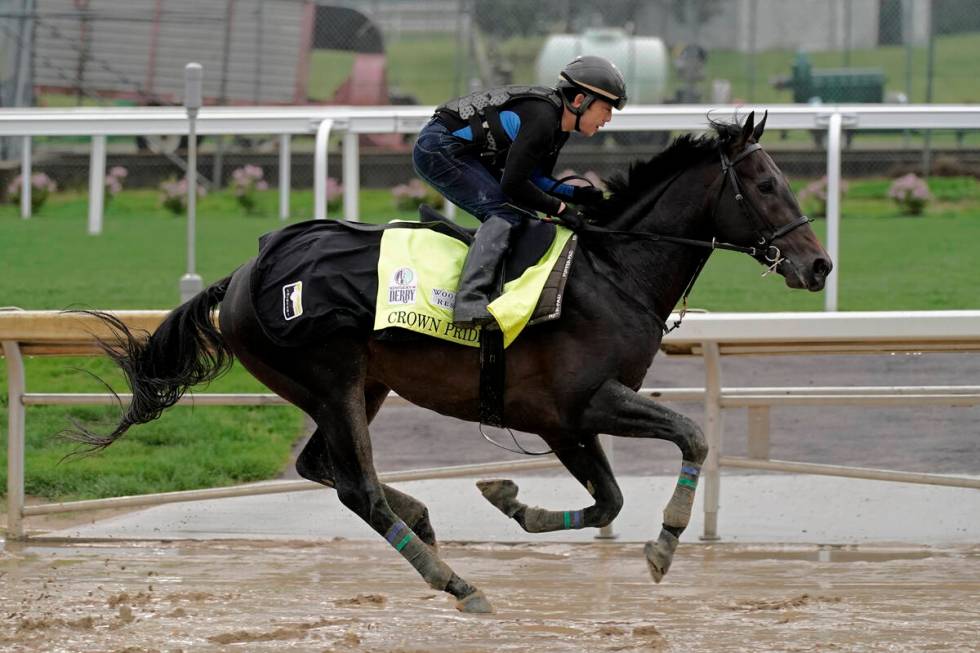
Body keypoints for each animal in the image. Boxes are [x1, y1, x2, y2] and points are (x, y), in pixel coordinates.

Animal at [71, 109, 836, 612]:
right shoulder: (586, 400)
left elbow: (609, 498)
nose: (820, 265)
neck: (611, 271)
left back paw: (424, 521)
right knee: (358, 488)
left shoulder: (564, 421)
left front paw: (510, 499)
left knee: (324, 467)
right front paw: (666, 543)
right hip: (331, 378)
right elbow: (692, 435)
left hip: (361, 386)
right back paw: (455, 581)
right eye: (766, 185)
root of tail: (242, 275)